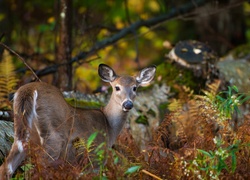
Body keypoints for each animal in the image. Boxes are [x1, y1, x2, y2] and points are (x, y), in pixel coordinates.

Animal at [0, 63, 155, 179]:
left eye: (135, 88)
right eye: (117, 87)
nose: (127, 104)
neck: (109, 126)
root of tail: (28, 90)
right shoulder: (95, 155)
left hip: (22, 134)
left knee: (6, 167)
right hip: (54, 136)